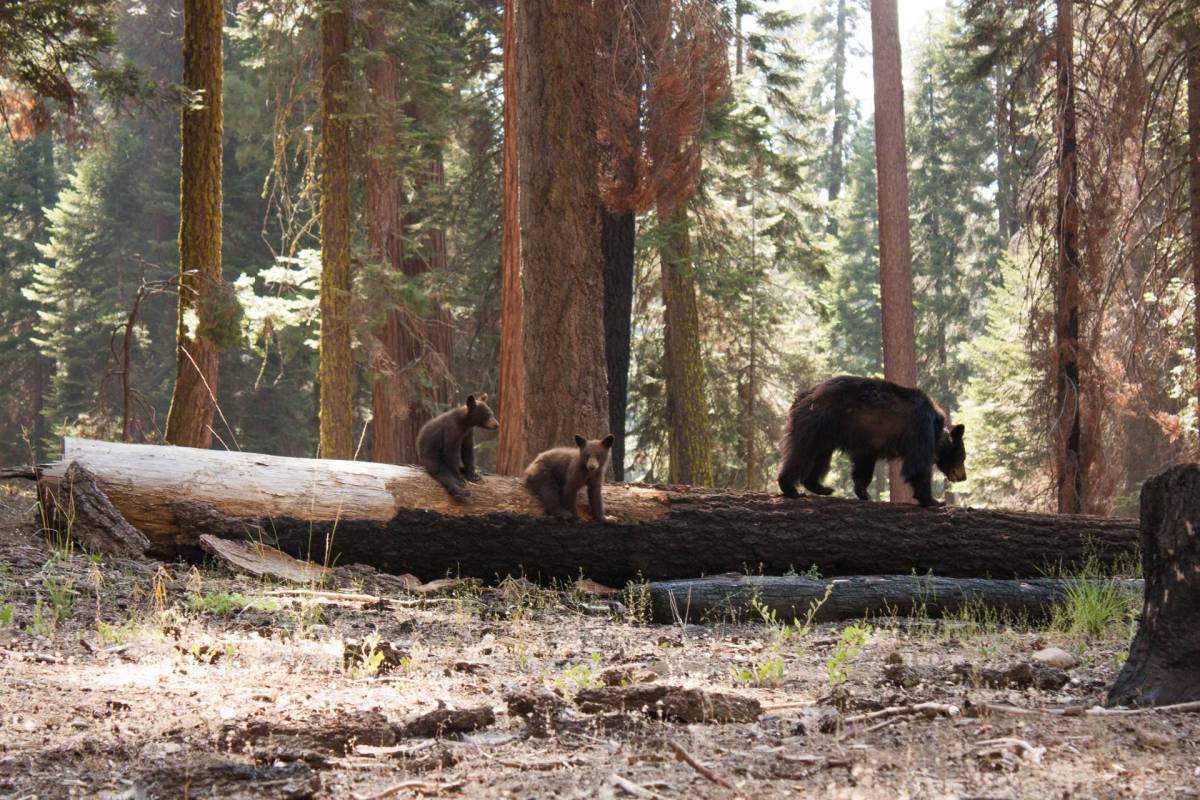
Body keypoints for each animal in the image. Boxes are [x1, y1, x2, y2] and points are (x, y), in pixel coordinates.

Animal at [776, 375, 966, 508]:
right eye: (962, 457)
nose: (963, 476)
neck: (936, 430)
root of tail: (803, 396)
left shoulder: (868, 441)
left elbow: (864, 463)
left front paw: (863, 492)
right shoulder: (919, 427)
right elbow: (917, 466)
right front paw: (934, 500)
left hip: (825, 432)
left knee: (820, 457)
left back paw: (820, 487)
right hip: (817, 421)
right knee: (801, 453)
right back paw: (790, 488)